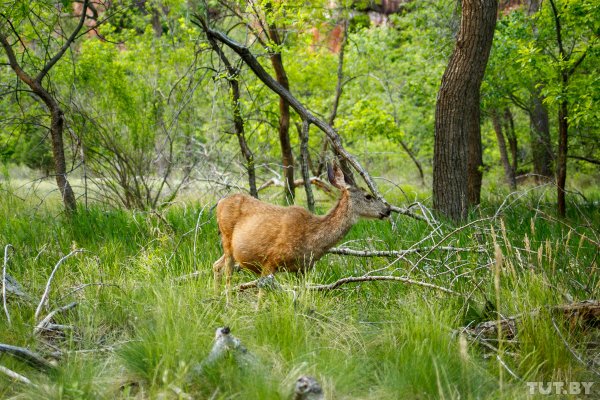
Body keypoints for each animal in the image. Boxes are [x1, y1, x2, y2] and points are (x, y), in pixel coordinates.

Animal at [213, 162, 392, 296]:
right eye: (368, 196)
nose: (388, 209)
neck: (312, 236)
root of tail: (220, 202)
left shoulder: (303, 268)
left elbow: (301, 297)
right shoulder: (271, 260)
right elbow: (262, 295)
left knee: (216, 265)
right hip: (227, 239)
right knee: (228, 274)